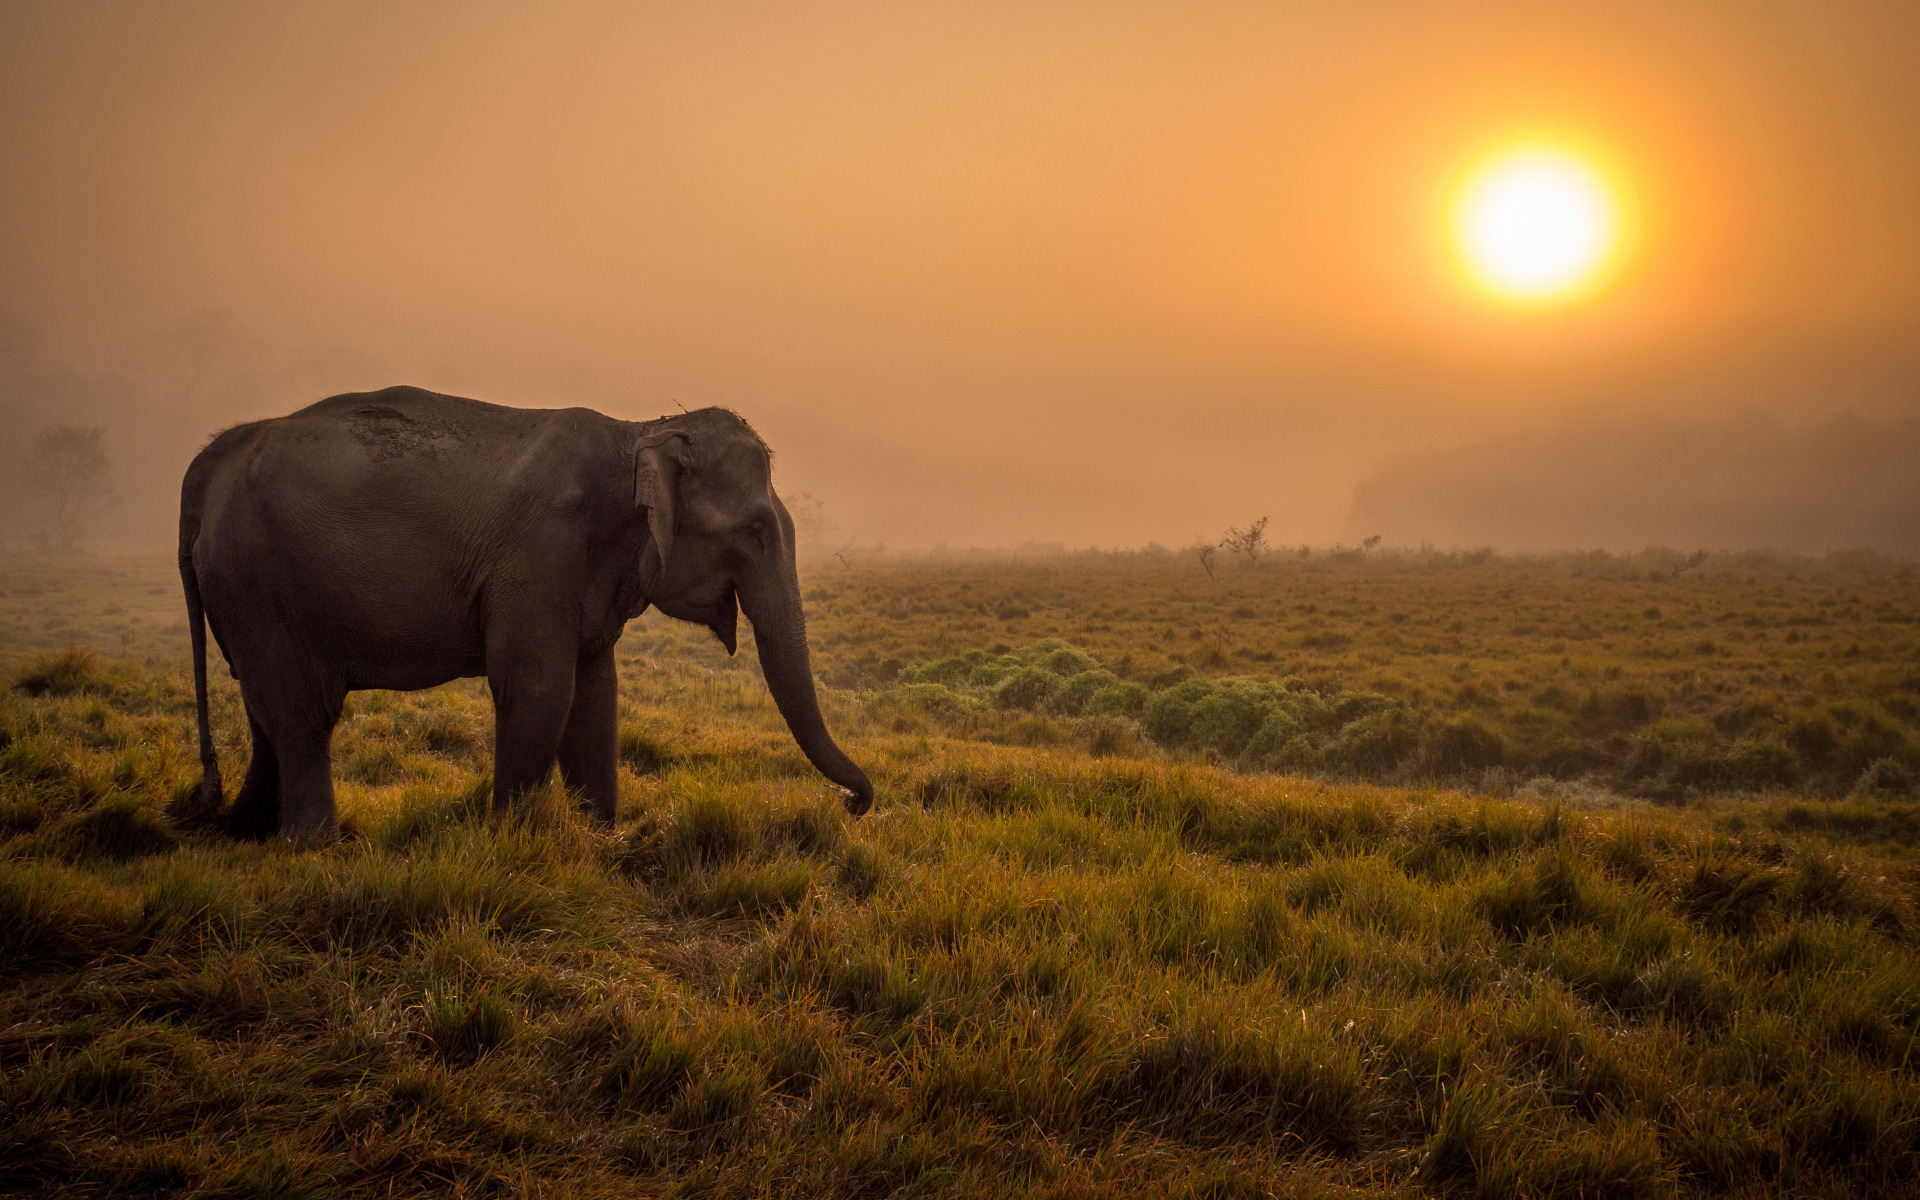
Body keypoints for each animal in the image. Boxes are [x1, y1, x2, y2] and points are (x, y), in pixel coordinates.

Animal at [178, 384, 871, 833]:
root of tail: (213, 457)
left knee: (264, 707)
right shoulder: (538, 559)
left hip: (242, 592)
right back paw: (315, 846)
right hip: (261, 583)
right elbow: (540, 689)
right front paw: (511, 843)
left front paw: (602, 838)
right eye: (755, 530)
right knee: (302, 712)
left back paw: (245, 831)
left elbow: (595, 692)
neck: (638, 432)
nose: (851, 803)